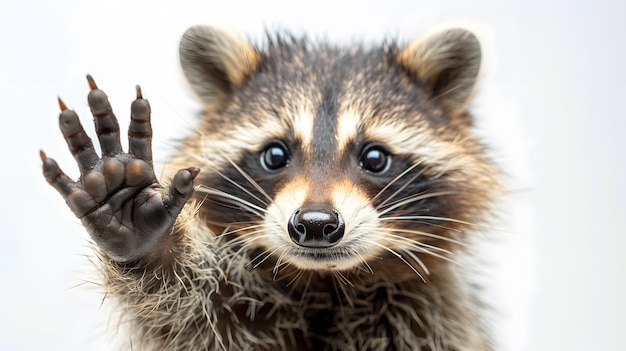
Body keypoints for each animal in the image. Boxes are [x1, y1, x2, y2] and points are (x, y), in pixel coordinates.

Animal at [40, 24, 498, 351]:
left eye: (374, 158)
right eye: (275, 155)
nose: (315, 224)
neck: (325, 283)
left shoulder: (435, 312)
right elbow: (184, 308)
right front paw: (150, 244)